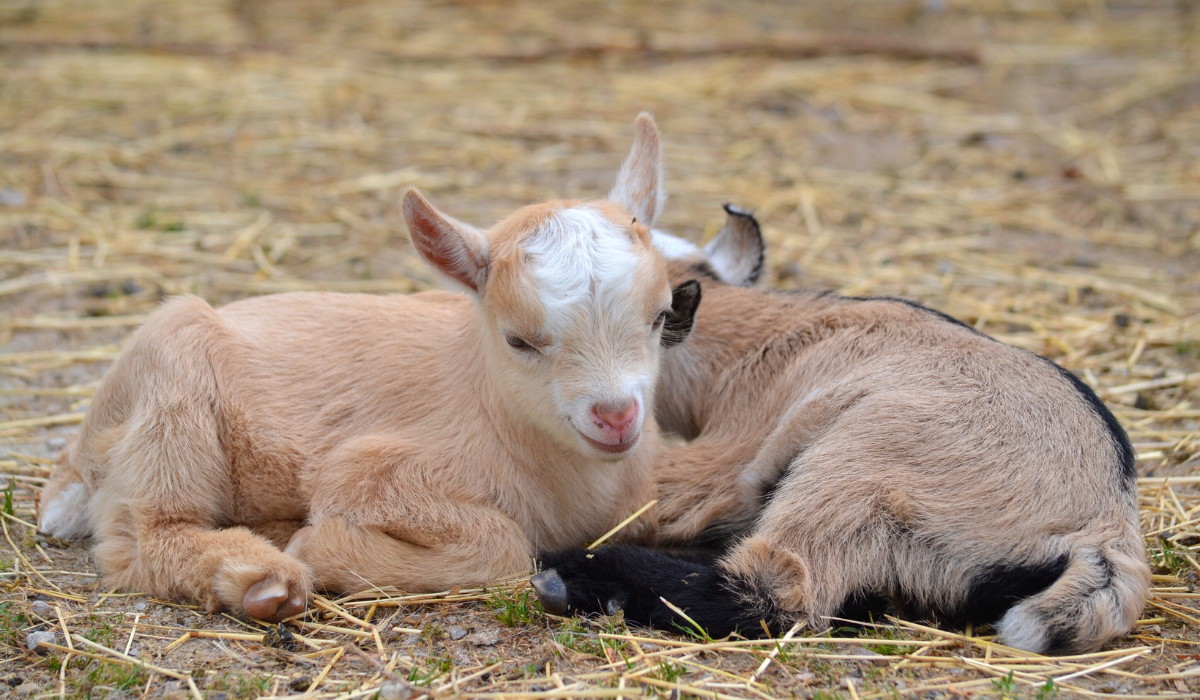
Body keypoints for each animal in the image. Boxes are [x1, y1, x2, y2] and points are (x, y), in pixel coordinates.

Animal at [36, 114, 702, 623]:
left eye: (661, 316)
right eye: (518, 340)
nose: (616, 417)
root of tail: (81, 447)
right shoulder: (369, 473)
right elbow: (505, 546)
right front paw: (319, 543)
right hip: (171, 391)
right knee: (143, 534)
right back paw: (262, 576)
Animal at [533, 205, 1150, 654]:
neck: (756, 342)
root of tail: (1106, 528)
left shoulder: (726, 459)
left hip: (861, 470)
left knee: (775, 590)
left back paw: (568, 575)